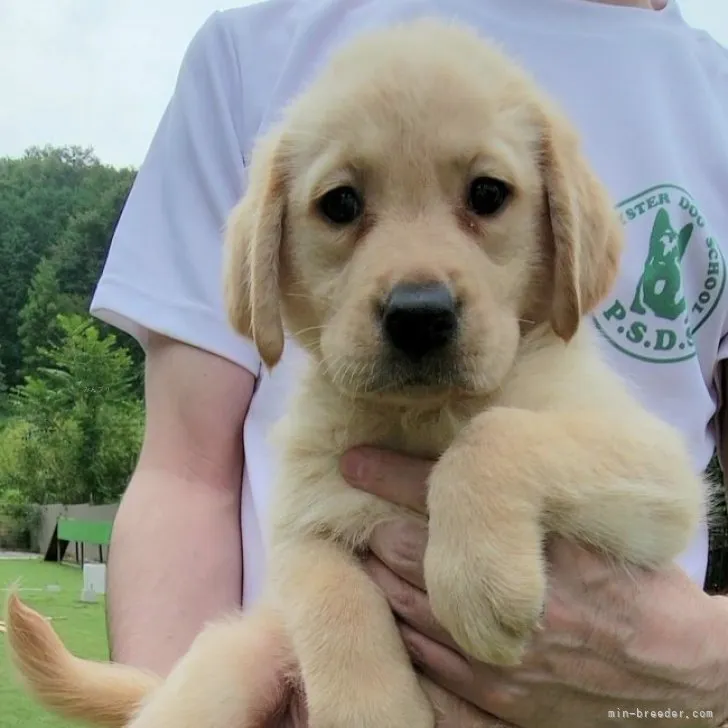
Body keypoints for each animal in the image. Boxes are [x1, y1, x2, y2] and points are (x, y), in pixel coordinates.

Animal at [4, 17, 704, 728]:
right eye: (340, 204)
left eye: (487, 194)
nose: (419, 316)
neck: (423, 414)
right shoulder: (303, 513)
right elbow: (329, 589)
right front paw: (374, 706)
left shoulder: (659, 483)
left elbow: (497, 434)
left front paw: (477, 574)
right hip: (231, 668)